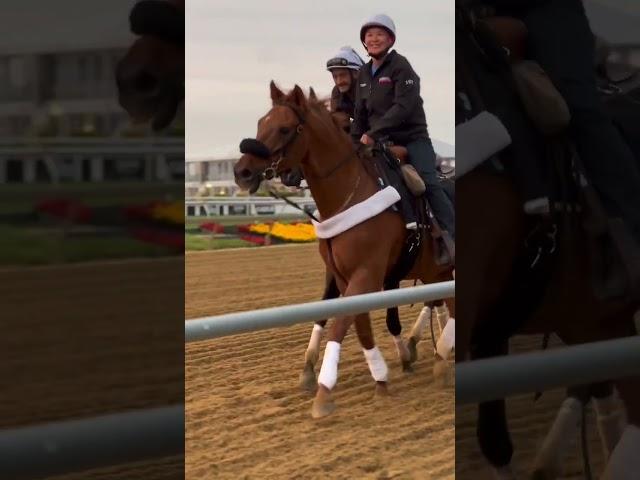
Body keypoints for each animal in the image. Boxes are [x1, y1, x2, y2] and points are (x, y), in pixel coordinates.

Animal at [232, 83, 452, 420]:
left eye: (284, 128)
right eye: (260, 123)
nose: (241, 172)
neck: (352, 193)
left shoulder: (367, 274)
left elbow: (341, 323)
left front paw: (324, 391)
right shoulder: (344, 276)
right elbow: (352, 322)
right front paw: (380, 379)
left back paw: (438, 355)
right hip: (435, 273)